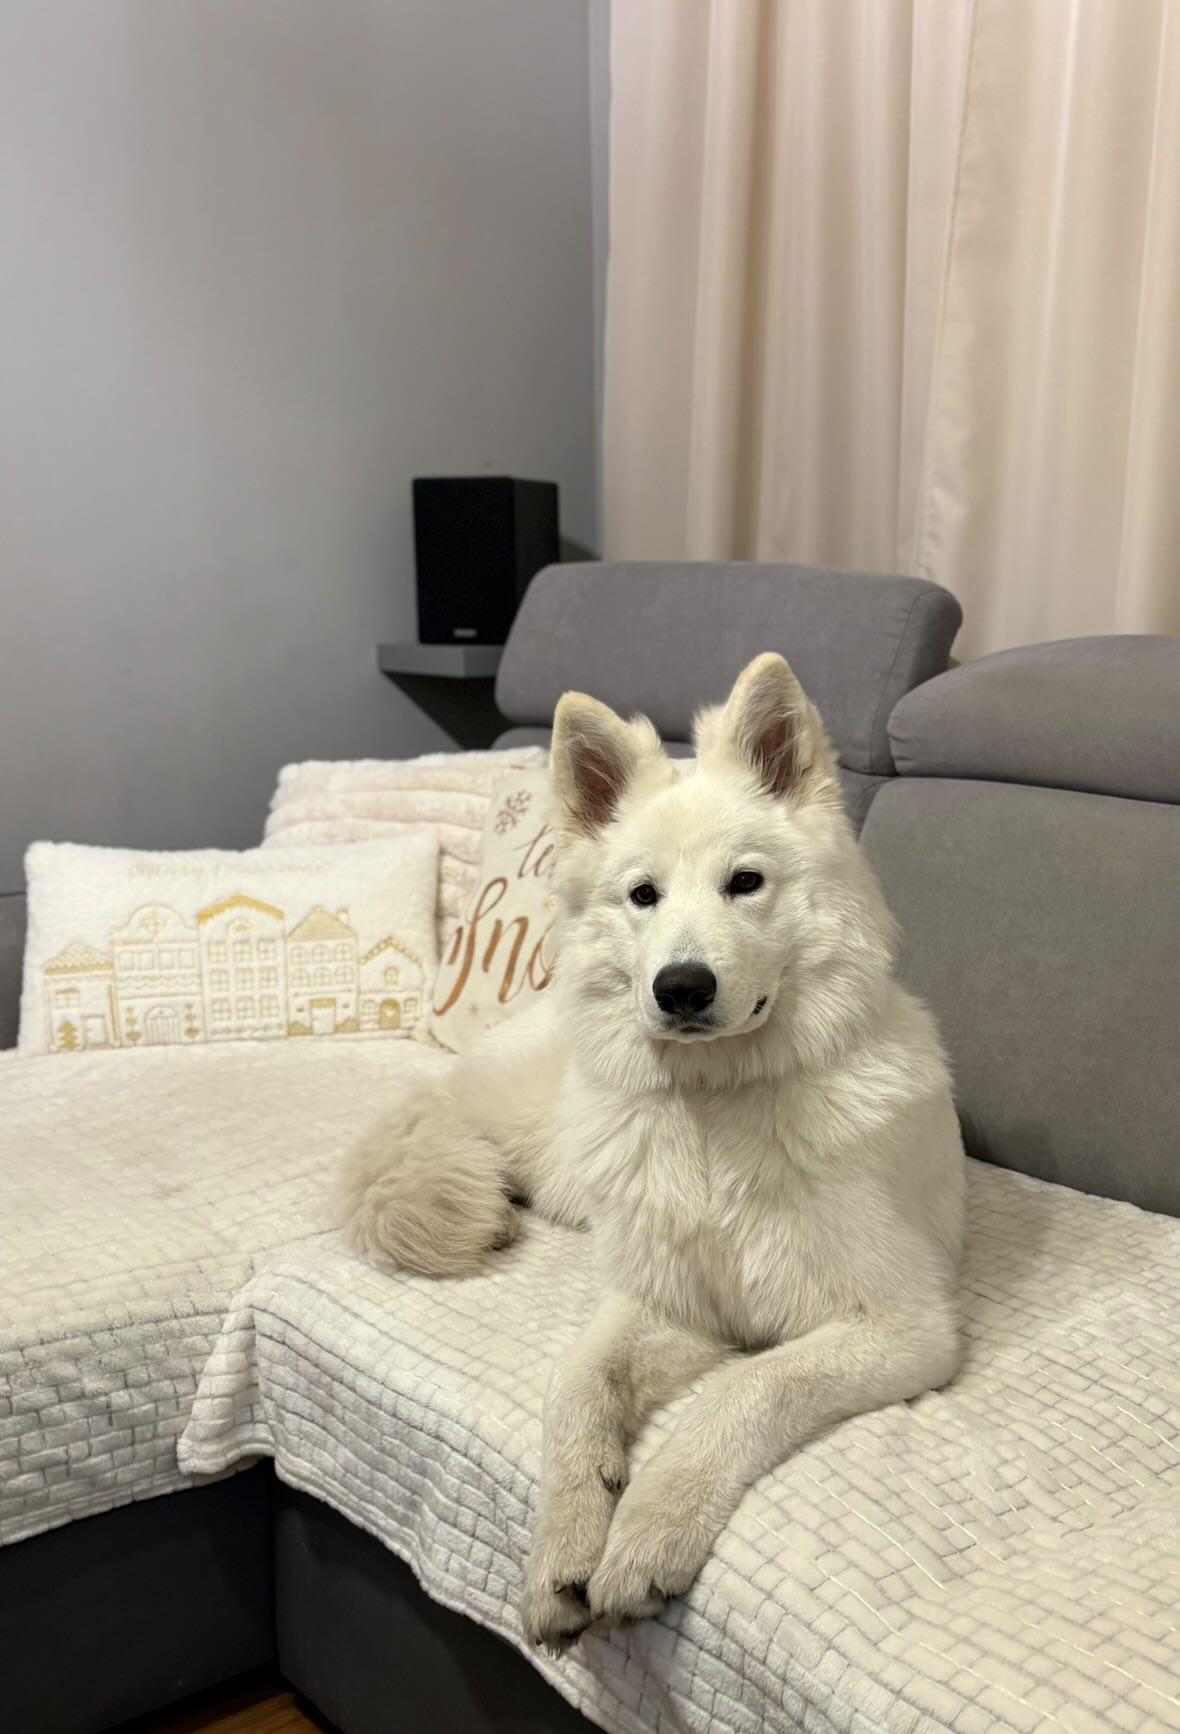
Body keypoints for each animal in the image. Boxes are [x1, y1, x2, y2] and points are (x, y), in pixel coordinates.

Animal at [340, 652, 966, 1652]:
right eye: (644, 895)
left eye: (745, 882)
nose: (680, 988)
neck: (716, 1111)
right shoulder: (667, 1303)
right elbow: (576, 1384)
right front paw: (565, 1534)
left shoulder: (899, 1327)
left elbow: (744, 1391)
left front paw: (645, 1530)